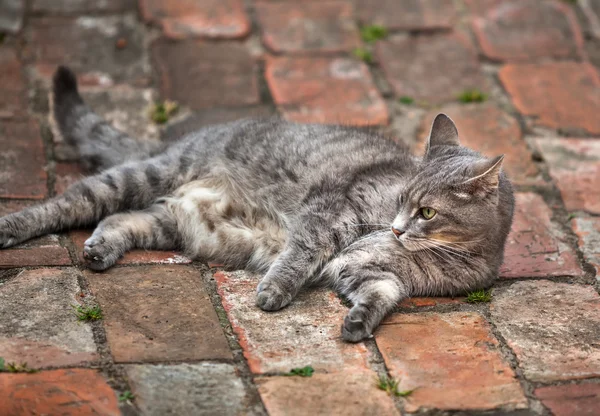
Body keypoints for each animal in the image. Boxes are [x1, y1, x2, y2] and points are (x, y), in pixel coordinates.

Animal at [0, 67, 516, 342]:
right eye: (403, 197)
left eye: (426, 212)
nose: (396, 227)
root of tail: (178, 141)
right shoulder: (333, 212)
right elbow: (301, 254)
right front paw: (273, 292)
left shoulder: (372, 272)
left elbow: (381, 294)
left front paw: (358, 322)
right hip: (142, 177)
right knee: (72, 201)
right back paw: (13, 226)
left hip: (174, 221)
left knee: (122, 218)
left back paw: (100, 249)